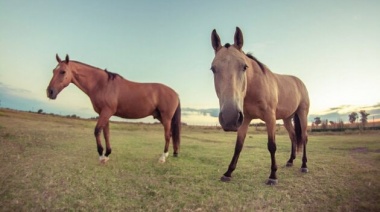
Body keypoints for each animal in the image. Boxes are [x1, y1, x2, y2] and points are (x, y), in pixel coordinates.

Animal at [46, 53, 180, 163]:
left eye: (63, 71)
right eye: (53, 71)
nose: (50, 92)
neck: (102, 84)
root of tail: (175, 93)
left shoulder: (106, 112)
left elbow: (97, 131)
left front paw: (101, 155)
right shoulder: (104, 113)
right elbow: (106, 133)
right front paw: (107, 154)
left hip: (166, 118)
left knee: (167, 135)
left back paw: (162, 158)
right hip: (160, 117)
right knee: (171, 134)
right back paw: (171, 153)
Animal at [211, 27, 308, 185]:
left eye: (244, 67)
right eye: (213, 69)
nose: (229, 118)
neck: (255, 86)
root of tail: (299, 82)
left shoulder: (270, 118)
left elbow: (272, 146)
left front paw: (273, 176)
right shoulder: (244, 119)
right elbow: (238, 146)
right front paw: (228, 172)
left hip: (302, 114)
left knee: (304, 137)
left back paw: (304, 165)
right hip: (287, 118)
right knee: (293, 136)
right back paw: (290, 161)